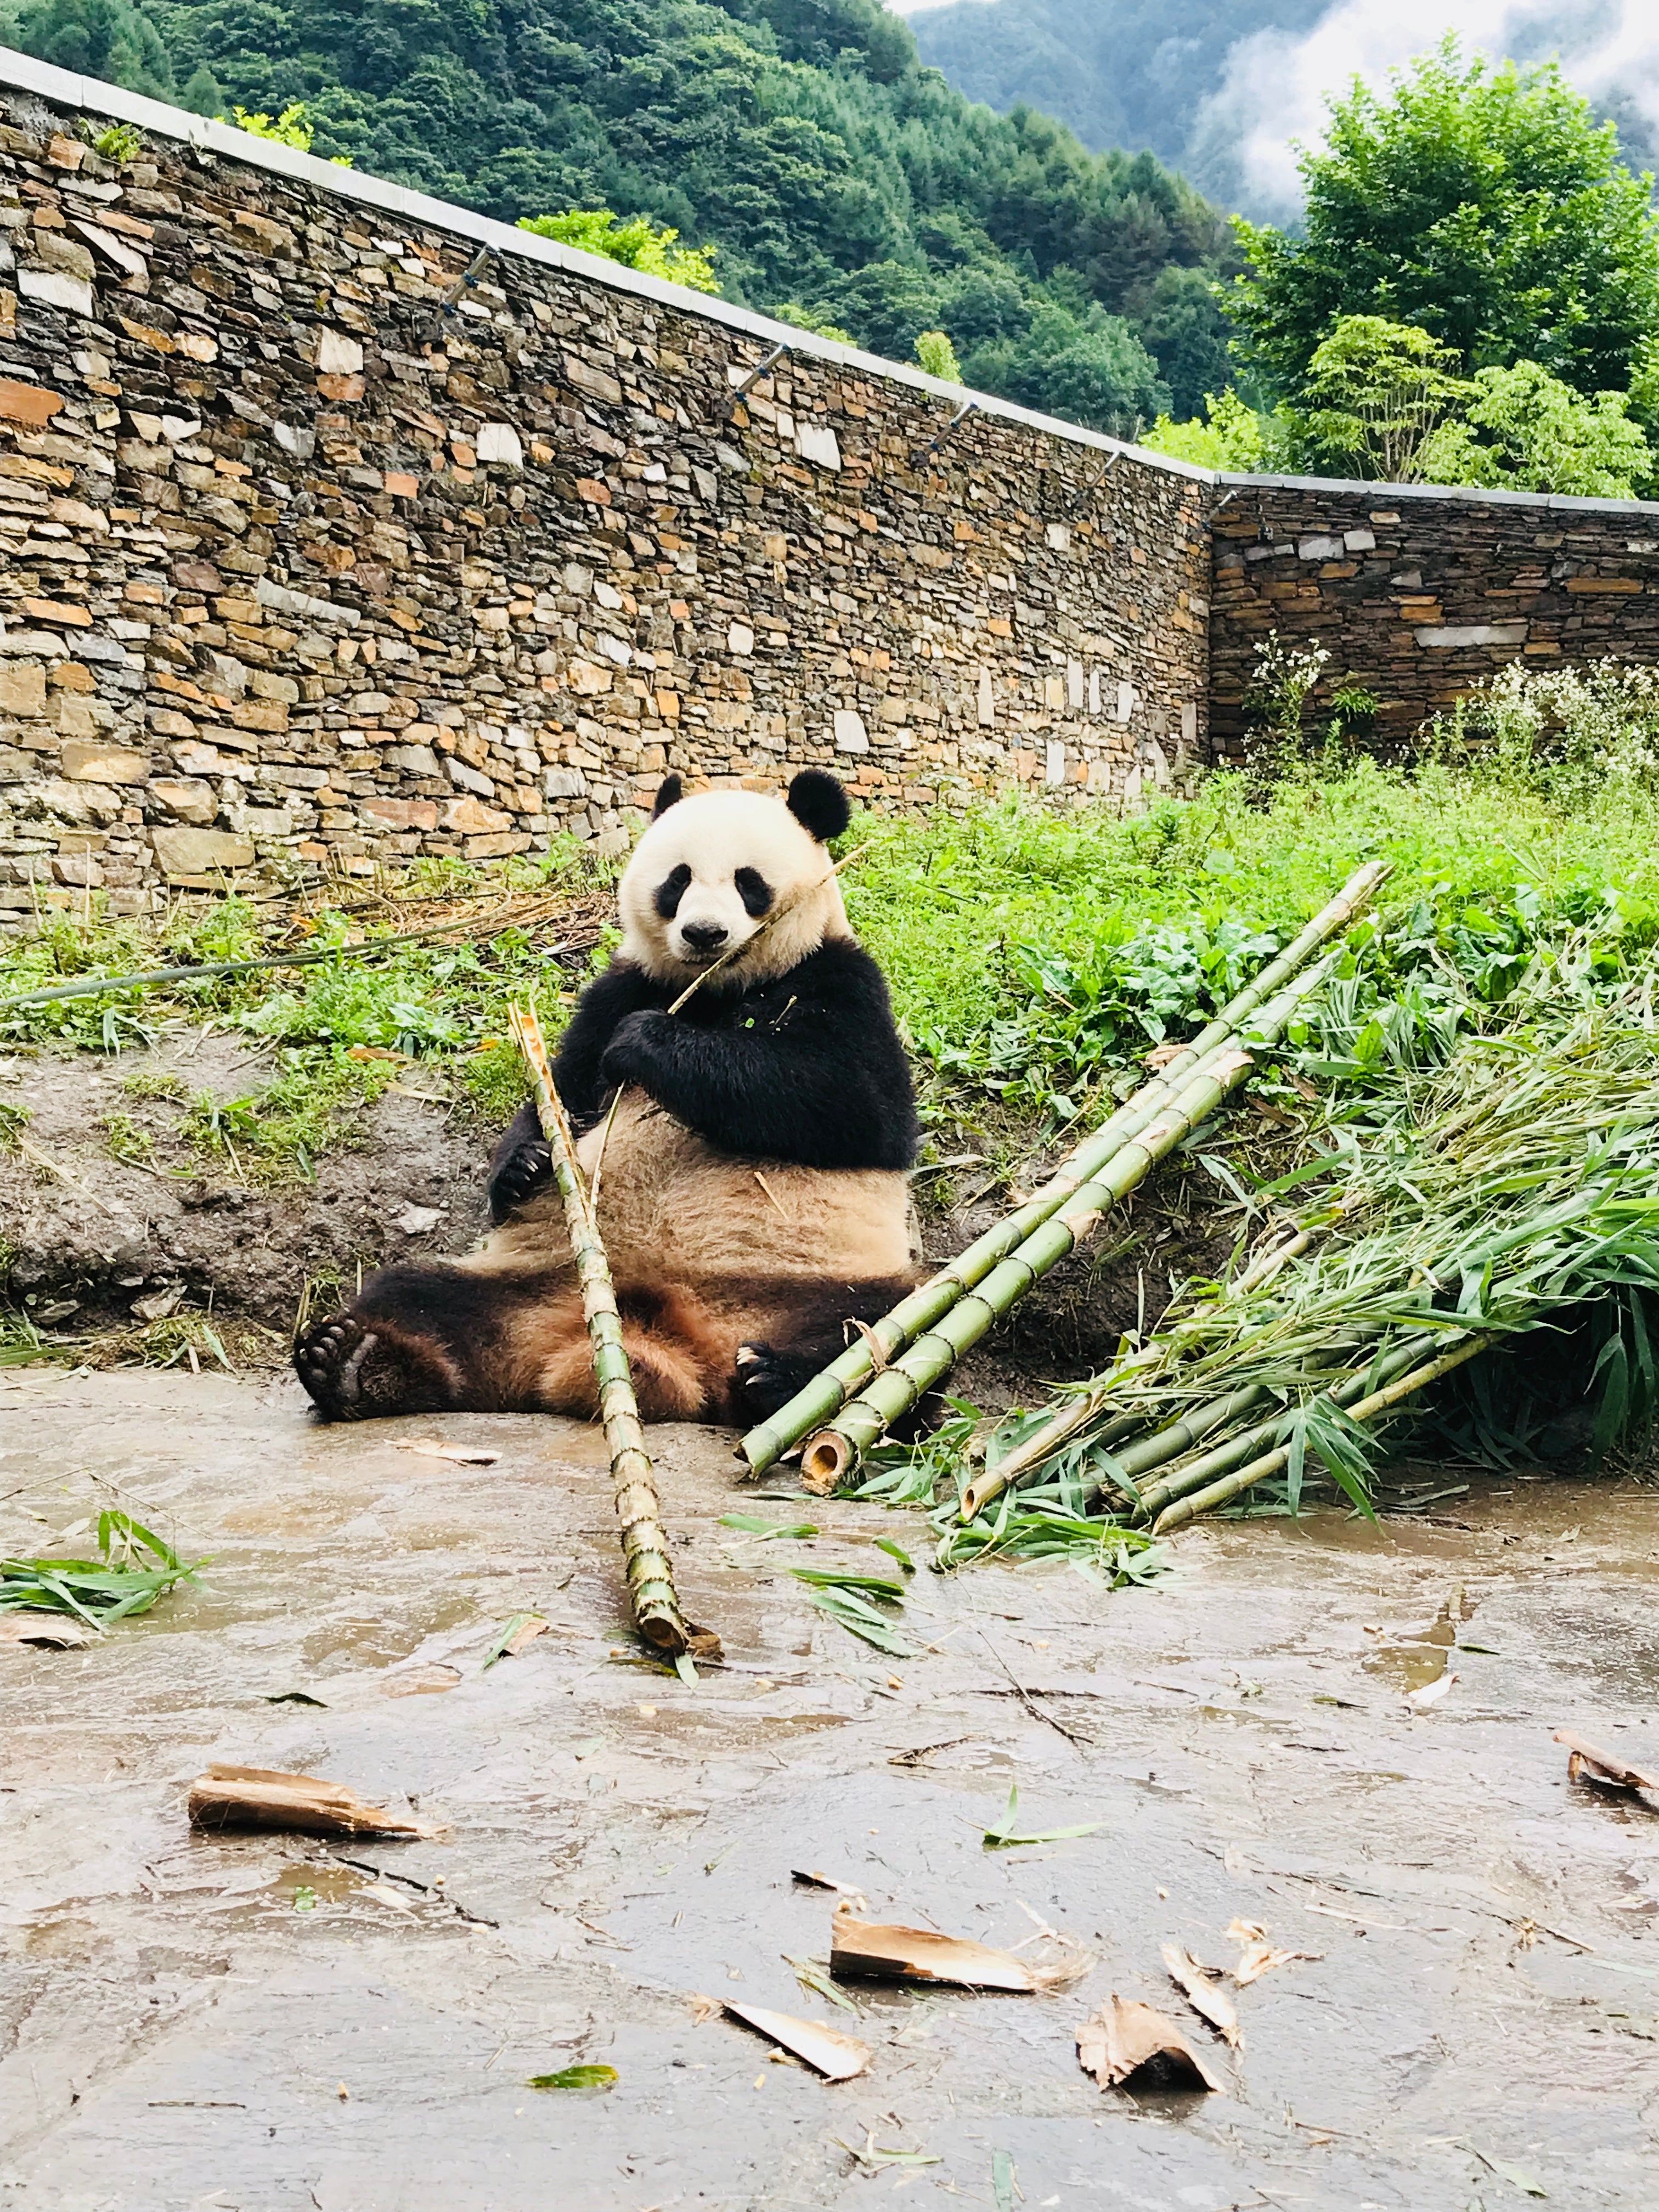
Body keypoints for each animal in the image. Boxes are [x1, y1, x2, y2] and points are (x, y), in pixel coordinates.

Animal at [294, 770, 929, 1433]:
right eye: (678, 880)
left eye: (747, 882)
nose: (704, 933)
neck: (714, 988)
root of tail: (668, 1354)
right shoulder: (622, 986)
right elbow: (563, 1089)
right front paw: (522, 1167)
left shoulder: (840, 978)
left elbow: (858, 1106)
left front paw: (647, 1043)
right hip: (527, 1281)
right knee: (413, 1294)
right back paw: (353, 1364)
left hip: (821, 1285)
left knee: (884, 1328)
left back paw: (778, 1379)